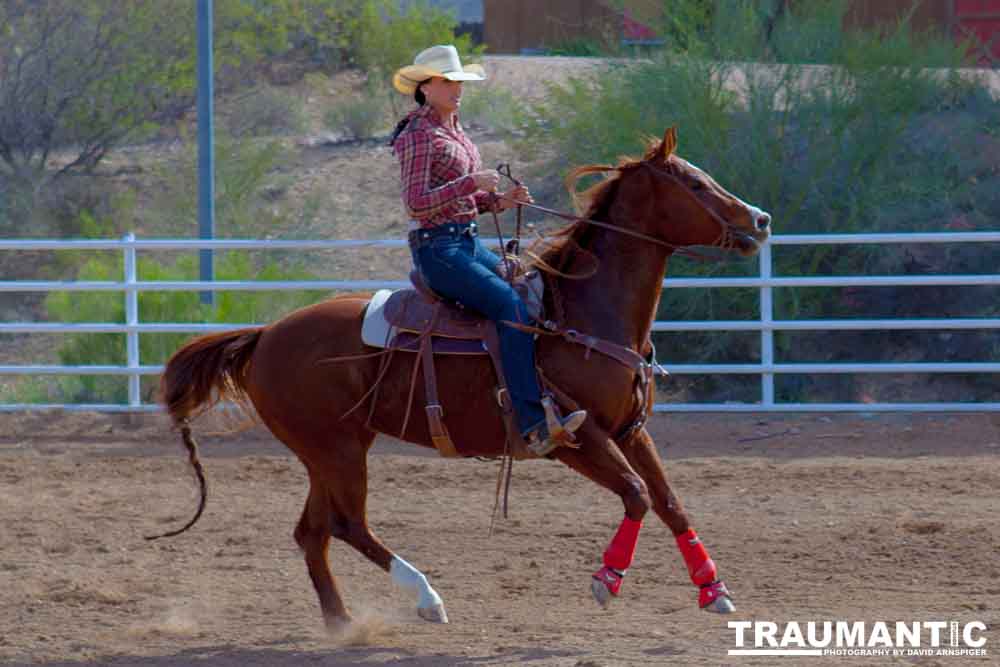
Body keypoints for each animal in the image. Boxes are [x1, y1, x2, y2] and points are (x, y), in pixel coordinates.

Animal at [156, 128, 772, 628]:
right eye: (695, 183)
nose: (760, 221)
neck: (579, 314)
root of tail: (266, 333)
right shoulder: (572, 437)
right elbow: (638, 496)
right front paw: (607, 580)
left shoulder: (630, 431)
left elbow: (670, 502)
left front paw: (714, 590)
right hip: (334, 449)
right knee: (348, 525)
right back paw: (427, 600)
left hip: (331, 449)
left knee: (314, 531)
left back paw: (341, 621)